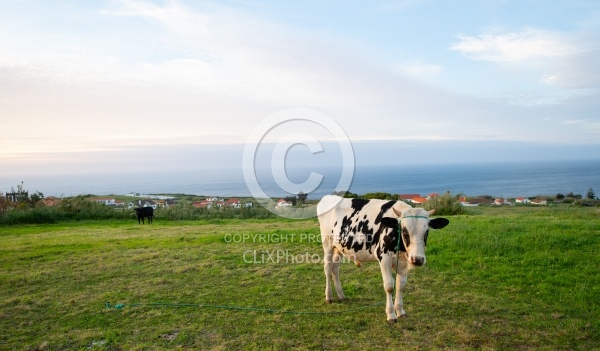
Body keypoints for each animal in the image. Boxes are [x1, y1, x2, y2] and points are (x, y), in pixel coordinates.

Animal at [316, 197, 448, 324]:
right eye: (404, 231)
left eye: (426, 232)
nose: (418, 259)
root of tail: (328, 197)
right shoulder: (384, 257)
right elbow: (389, 286)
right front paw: (391, 315)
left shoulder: (404, 261)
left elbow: (401, 285)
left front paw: (400, 311)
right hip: (327, 244)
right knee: (327, 268)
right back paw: (329, 297)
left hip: (339, 247)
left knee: (335, 269)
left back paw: (341, 295)